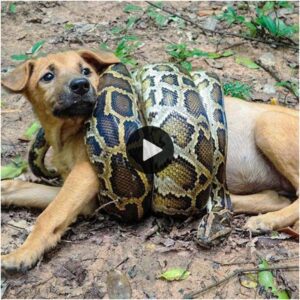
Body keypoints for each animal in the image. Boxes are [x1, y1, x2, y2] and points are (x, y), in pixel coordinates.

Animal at [1, 49, 298, 272]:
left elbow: (52, 214)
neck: (64, 133)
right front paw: (7, 190)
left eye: (85, 70)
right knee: (273, 196)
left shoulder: (85, 176)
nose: (80, 85)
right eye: (47, 76)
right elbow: (32, 193)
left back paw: (265, 221)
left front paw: (22, 254)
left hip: (268, 127)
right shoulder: (90, 202)